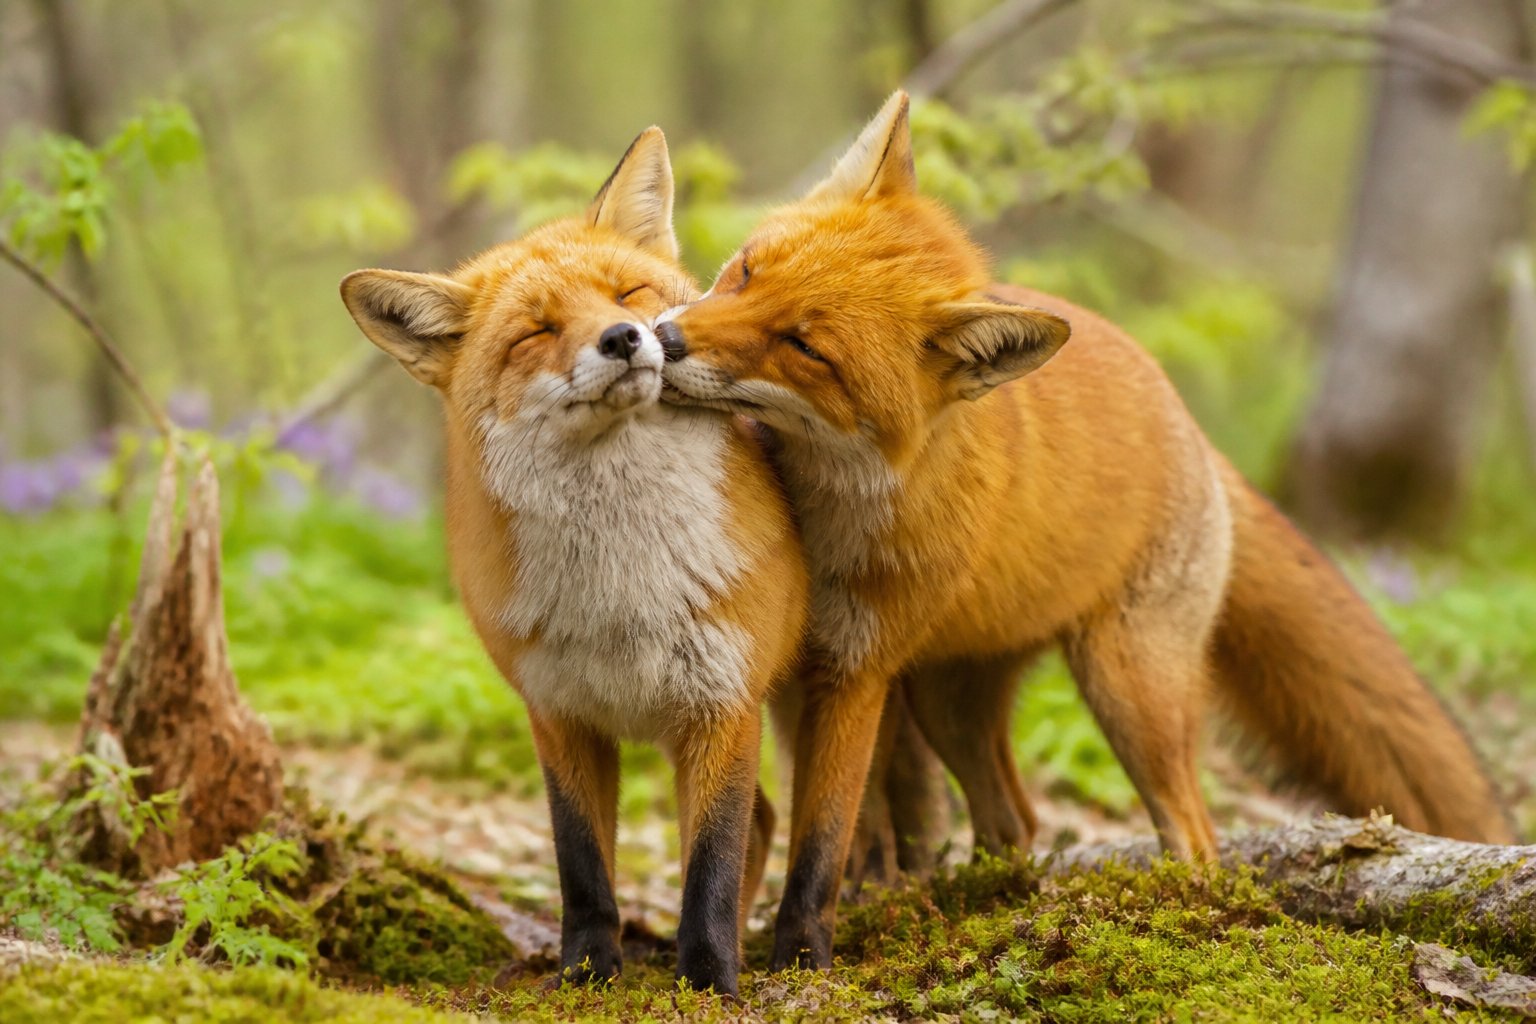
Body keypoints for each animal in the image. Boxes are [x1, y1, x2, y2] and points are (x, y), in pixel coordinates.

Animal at [340, 128, 808, 995]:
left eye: (628, 293)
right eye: (535, 332)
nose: (623, 339)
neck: (623, 586)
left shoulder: (724, 702)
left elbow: (711, 863)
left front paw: (708, 981)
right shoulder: (558, 713)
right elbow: (582, 863)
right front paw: (589, 973)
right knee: (764, 820)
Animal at [656, 91, 1516, 969]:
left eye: (805, 346)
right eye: (748, 271)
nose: (663, 340)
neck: (823, 513)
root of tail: (1186, 420)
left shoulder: (855, 668)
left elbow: (822, 839)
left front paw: (803, 954)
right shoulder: (800, 672)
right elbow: (836, 827)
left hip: (1127, 690)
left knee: (1192, 833)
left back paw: (1168, 919)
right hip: (949, 699)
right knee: (1015, 819)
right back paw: (981, 905)